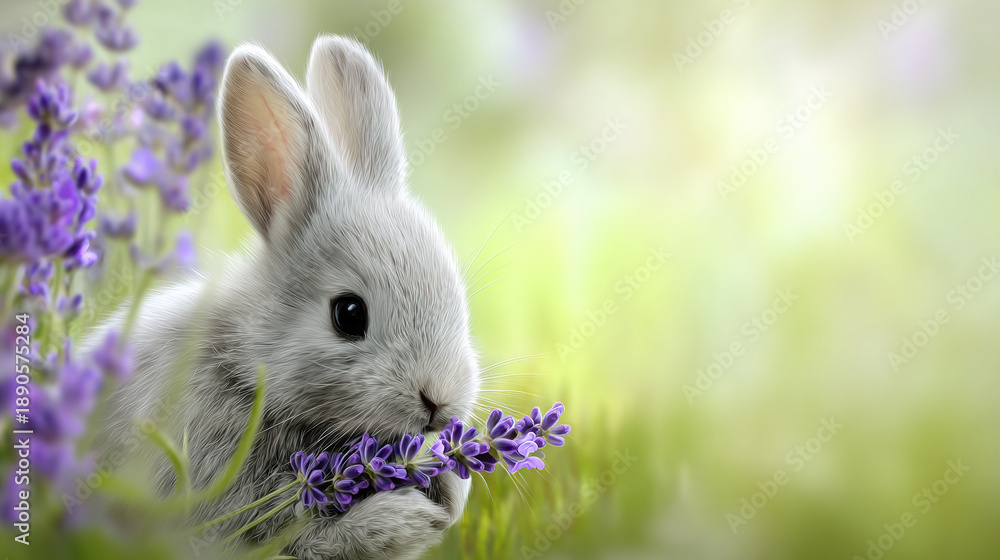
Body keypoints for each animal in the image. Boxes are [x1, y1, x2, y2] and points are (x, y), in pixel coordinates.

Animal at [93, 35, 480, 560]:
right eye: (349, 314)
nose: (440, 401)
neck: (247, 365)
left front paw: (449, 490)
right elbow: (302, 534)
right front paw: (403, 520)